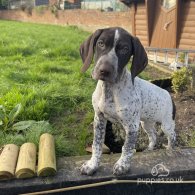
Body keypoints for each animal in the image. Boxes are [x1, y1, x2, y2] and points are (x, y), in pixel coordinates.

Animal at [78, 27, 176, 175]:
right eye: (101, 43)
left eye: (125, 49)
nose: (104, 71)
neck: (110, 90)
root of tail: (169, 95)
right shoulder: (99, 119)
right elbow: (97, 144)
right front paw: (92, 165)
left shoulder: (131, 126)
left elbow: (128, 148)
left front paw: (122, 165)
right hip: (146, 122)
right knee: (153, 136)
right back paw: (149, 149)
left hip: (166, 124)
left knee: (172, 136)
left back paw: (171, 150)